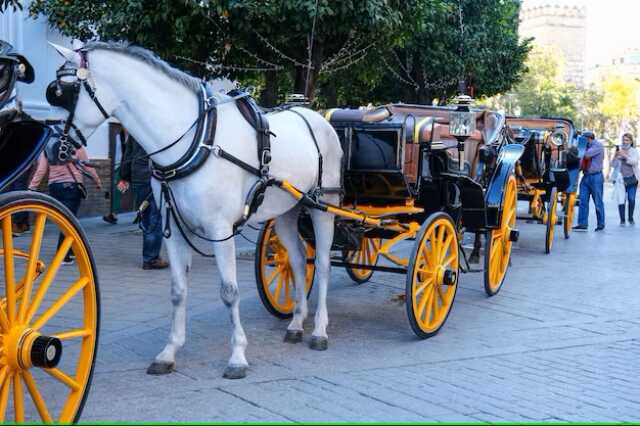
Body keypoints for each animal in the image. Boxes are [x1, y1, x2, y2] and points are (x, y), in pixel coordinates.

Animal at [50, 41, 342, 378]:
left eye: (65, 92)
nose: (52, 149)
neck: (197, 139)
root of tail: (315, 115)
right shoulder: (174, 229)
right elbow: (178, 291)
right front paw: (169, 351)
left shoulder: (221, 229)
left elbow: (229, 291)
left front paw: (237, 355)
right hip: (287, 210)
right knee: (296, 260)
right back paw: (296, 322)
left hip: (323, 206)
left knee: (322, 263)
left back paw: (319, 330)